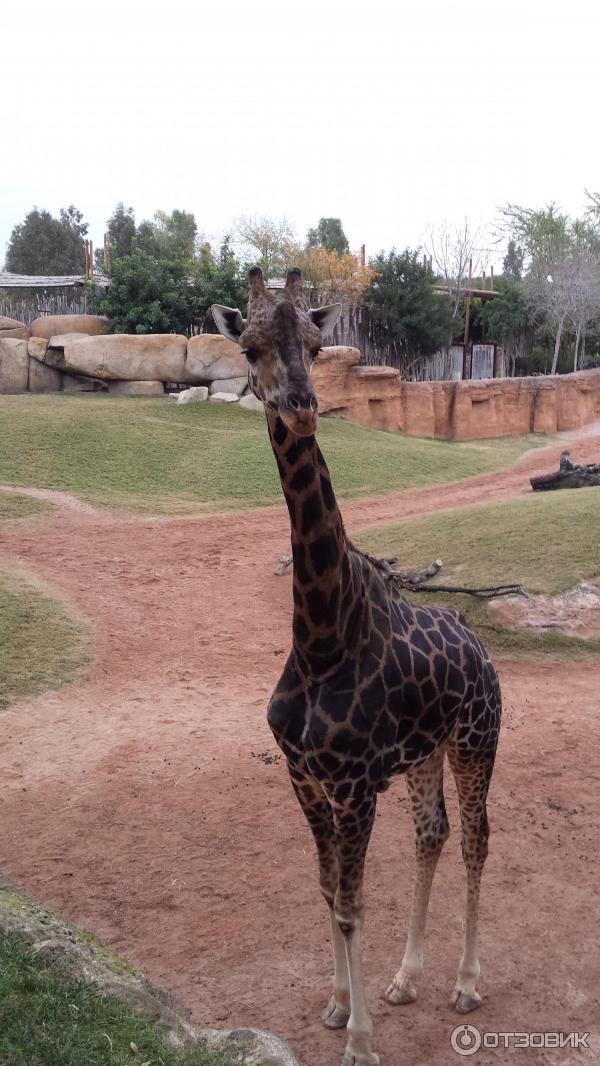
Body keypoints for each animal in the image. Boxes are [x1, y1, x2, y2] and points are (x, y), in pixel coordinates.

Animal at [211, 268, 503, 1066]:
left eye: (317, 345)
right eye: (249, 346)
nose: (302, 406)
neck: (319, 640)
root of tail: (483, 652)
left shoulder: (354, 787)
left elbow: (351, 902)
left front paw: (362, 1043)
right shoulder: (305, 779)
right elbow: (326, 892)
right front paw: (342, 1005)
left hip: (477, 741)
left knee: (476, 839)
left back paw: (465, 984)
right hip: (426, 753)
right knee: (433, 833)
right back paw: (407, 978)